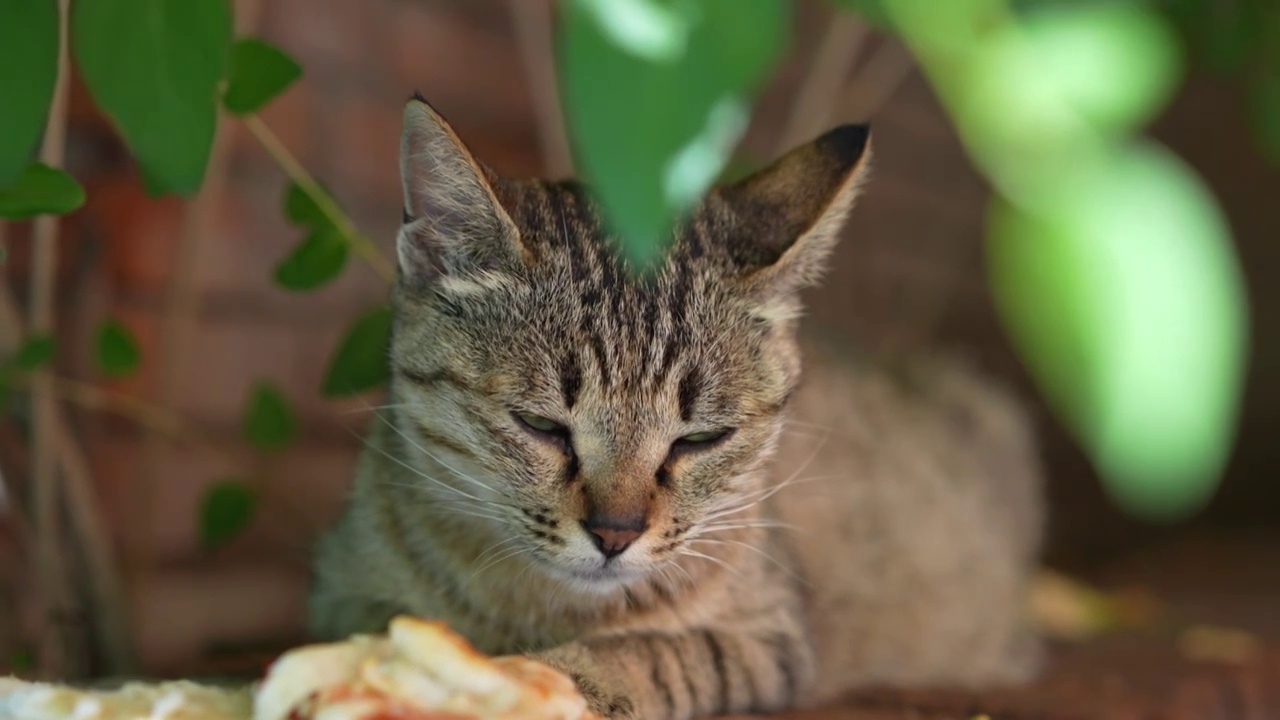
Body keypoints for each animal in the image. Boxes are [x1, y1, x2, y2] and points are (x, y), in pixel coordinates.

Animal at [309, 95, 1049, 717]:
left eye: (699, 439)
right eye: (541, 425)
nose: (614, 534)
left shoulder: (771, 640)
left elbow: (661, 653)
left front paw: (569, 677)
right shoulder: (340, 591)